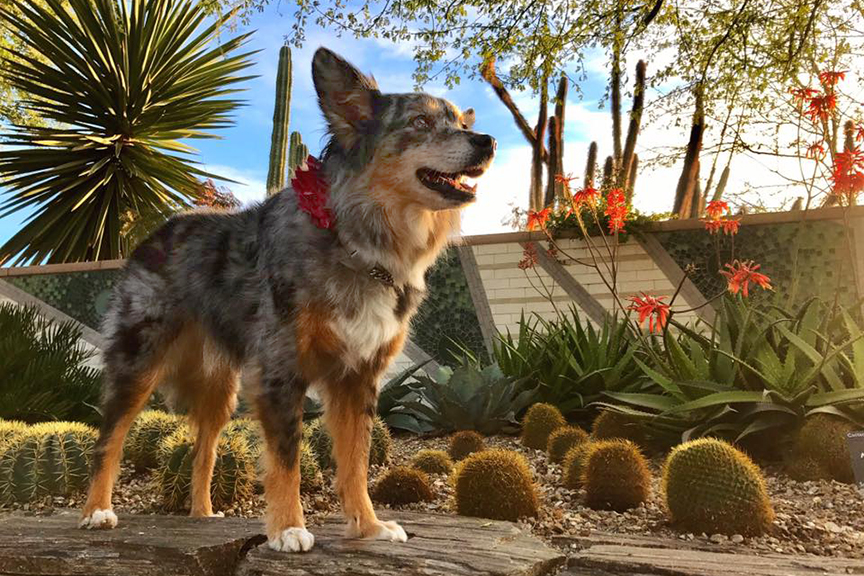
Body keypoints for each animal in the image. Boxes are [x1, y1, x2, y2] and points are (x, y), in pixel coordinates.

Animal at [81, 47, 500, 552]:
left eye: (458, 120)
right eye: (419, 121)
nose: (487, 141)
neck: (354, 240)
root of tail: (153, 234)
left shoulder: (358, 379)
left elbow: (356, 462)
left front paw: (369, 526)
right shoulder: (281, 370)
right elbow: (286, 459)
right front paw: (288, 528)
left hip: (222, 389)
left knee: (204, 448)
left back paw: (202, 514)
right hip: (138, 364)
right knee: (109, 439)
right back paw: (96, 511)